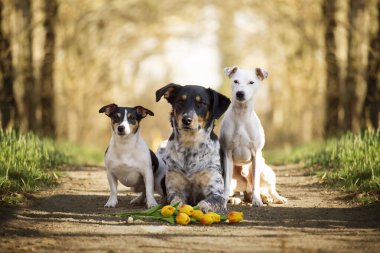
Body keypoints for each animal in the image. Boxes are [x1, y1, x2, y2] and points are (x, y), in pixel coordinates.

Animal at [155, 83, 232, 213]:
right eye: (180, 101)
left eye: (202, 103)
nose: (186, 120)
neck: (190, 147)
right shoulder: (175, 189)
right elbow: (176, 200)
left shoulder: (216, 193)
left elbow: (207, 202)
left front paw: (201, 208)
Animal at [220, 67, 288, 208]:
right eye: (235, 81)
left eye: (251, 82)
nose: (240, 93)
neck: (241, 114)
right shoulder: (227, 155)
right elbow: (226, 184)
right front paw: (222, 200)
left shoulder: (256, 155)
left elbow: (256, 184)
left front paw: (257, 201)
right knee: (240, 193)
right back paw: (236, 199)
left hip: (266, 172)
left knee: (269, 189)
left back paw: (272, 198)